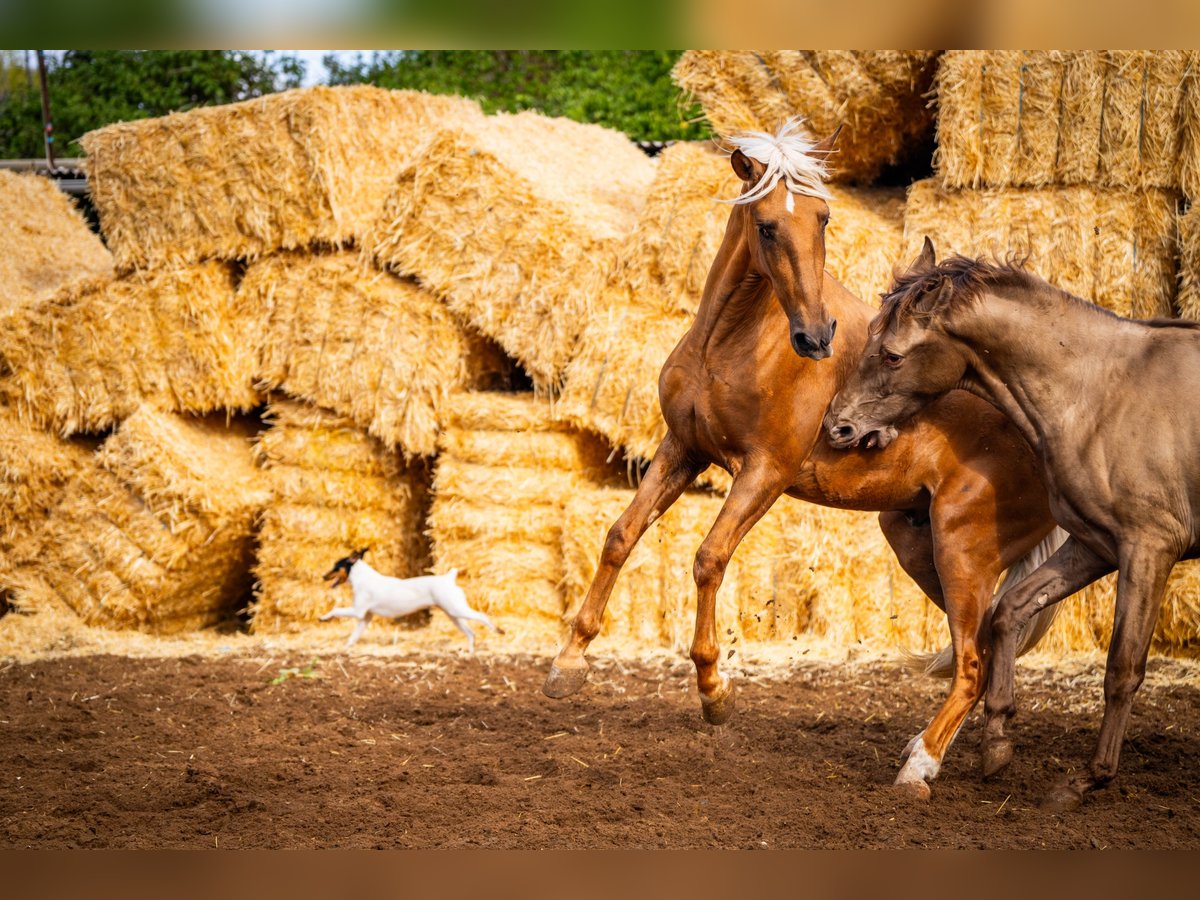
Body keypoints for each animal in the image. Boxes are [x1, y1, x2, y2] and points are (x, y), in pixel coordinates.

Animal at [319, 547, 501, 652]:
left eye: (336, 566)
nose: (323, 576)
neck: (362, 578)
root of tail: (449, 578)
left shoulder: (357, 612)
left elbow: (335, 610)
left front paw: (323, 617)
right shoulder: (365, 618)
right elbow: (353, 637)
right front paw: (344, 649)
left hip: (457, 610)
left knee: (483, 617)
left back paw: (497, 630)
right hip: (453, 614)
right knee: (470, 633)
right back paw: (470, 653)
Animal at [544, 121, 1060, 801]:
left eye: (824, 218)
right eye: (766, 226)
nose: (816, 337)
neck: (730, 345)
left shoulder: (764, 472)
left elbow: (709, 559)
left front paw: (714, 690)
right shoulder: (682, 450)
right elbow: (620, 535)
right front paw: (567, 663)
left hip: (962, 553)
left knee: (973, 661)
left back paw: (920, 767)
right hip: (921, 547)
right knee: (993, 641)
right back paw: (978, 747)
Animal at [825, 237, 1200, 811]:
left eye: (891, 354)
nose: (837, 426)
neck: (1099, 394)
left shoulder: (1149, 549)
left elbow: (1122, 668)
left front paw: (1085, 780)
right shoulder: (1097, 546)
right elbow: (1010, 611)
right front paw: (998, 741)